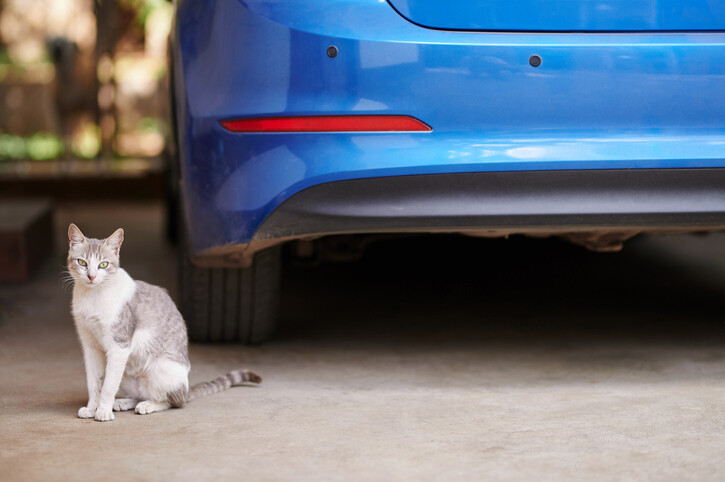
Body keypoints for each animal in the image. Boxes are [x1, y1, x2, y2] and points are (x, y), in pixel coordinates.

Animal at [66, 223, 262, 422]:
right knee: (141, 394)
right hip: (127, 373)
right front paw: (92, 408)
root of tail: (187, 389)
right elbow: (94, 383)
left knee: (173, 401)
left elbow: (108, 386)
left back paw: (147, 405)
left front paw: (103, 411)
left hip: (159, 368)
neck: (92, 296)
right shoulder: (91, 347)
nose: (91, 277)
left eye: (103, 264)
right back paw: (124, 402)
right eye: (82, 262)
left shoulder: (119, 347)